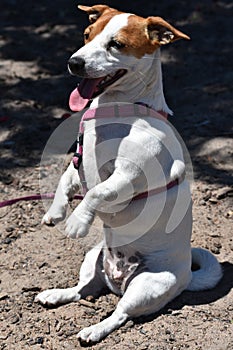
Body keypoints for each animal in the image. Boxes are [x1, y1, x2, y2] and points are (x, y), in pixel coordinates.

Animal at [35, 5, 223, 344]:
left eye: (117, 44)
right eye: (86, 35)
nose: (74, 62)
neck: (116, 112)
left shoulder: (127, 176)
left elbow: (96, 193)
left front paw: (78, 221)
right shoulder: (78, 165)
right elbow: (66, 181)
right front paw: (55, 212)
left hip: (146, 285)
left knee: (120, 313)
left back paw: (94, 330)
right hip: (92, 259)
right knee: (83, 290)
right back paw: (56, 295)